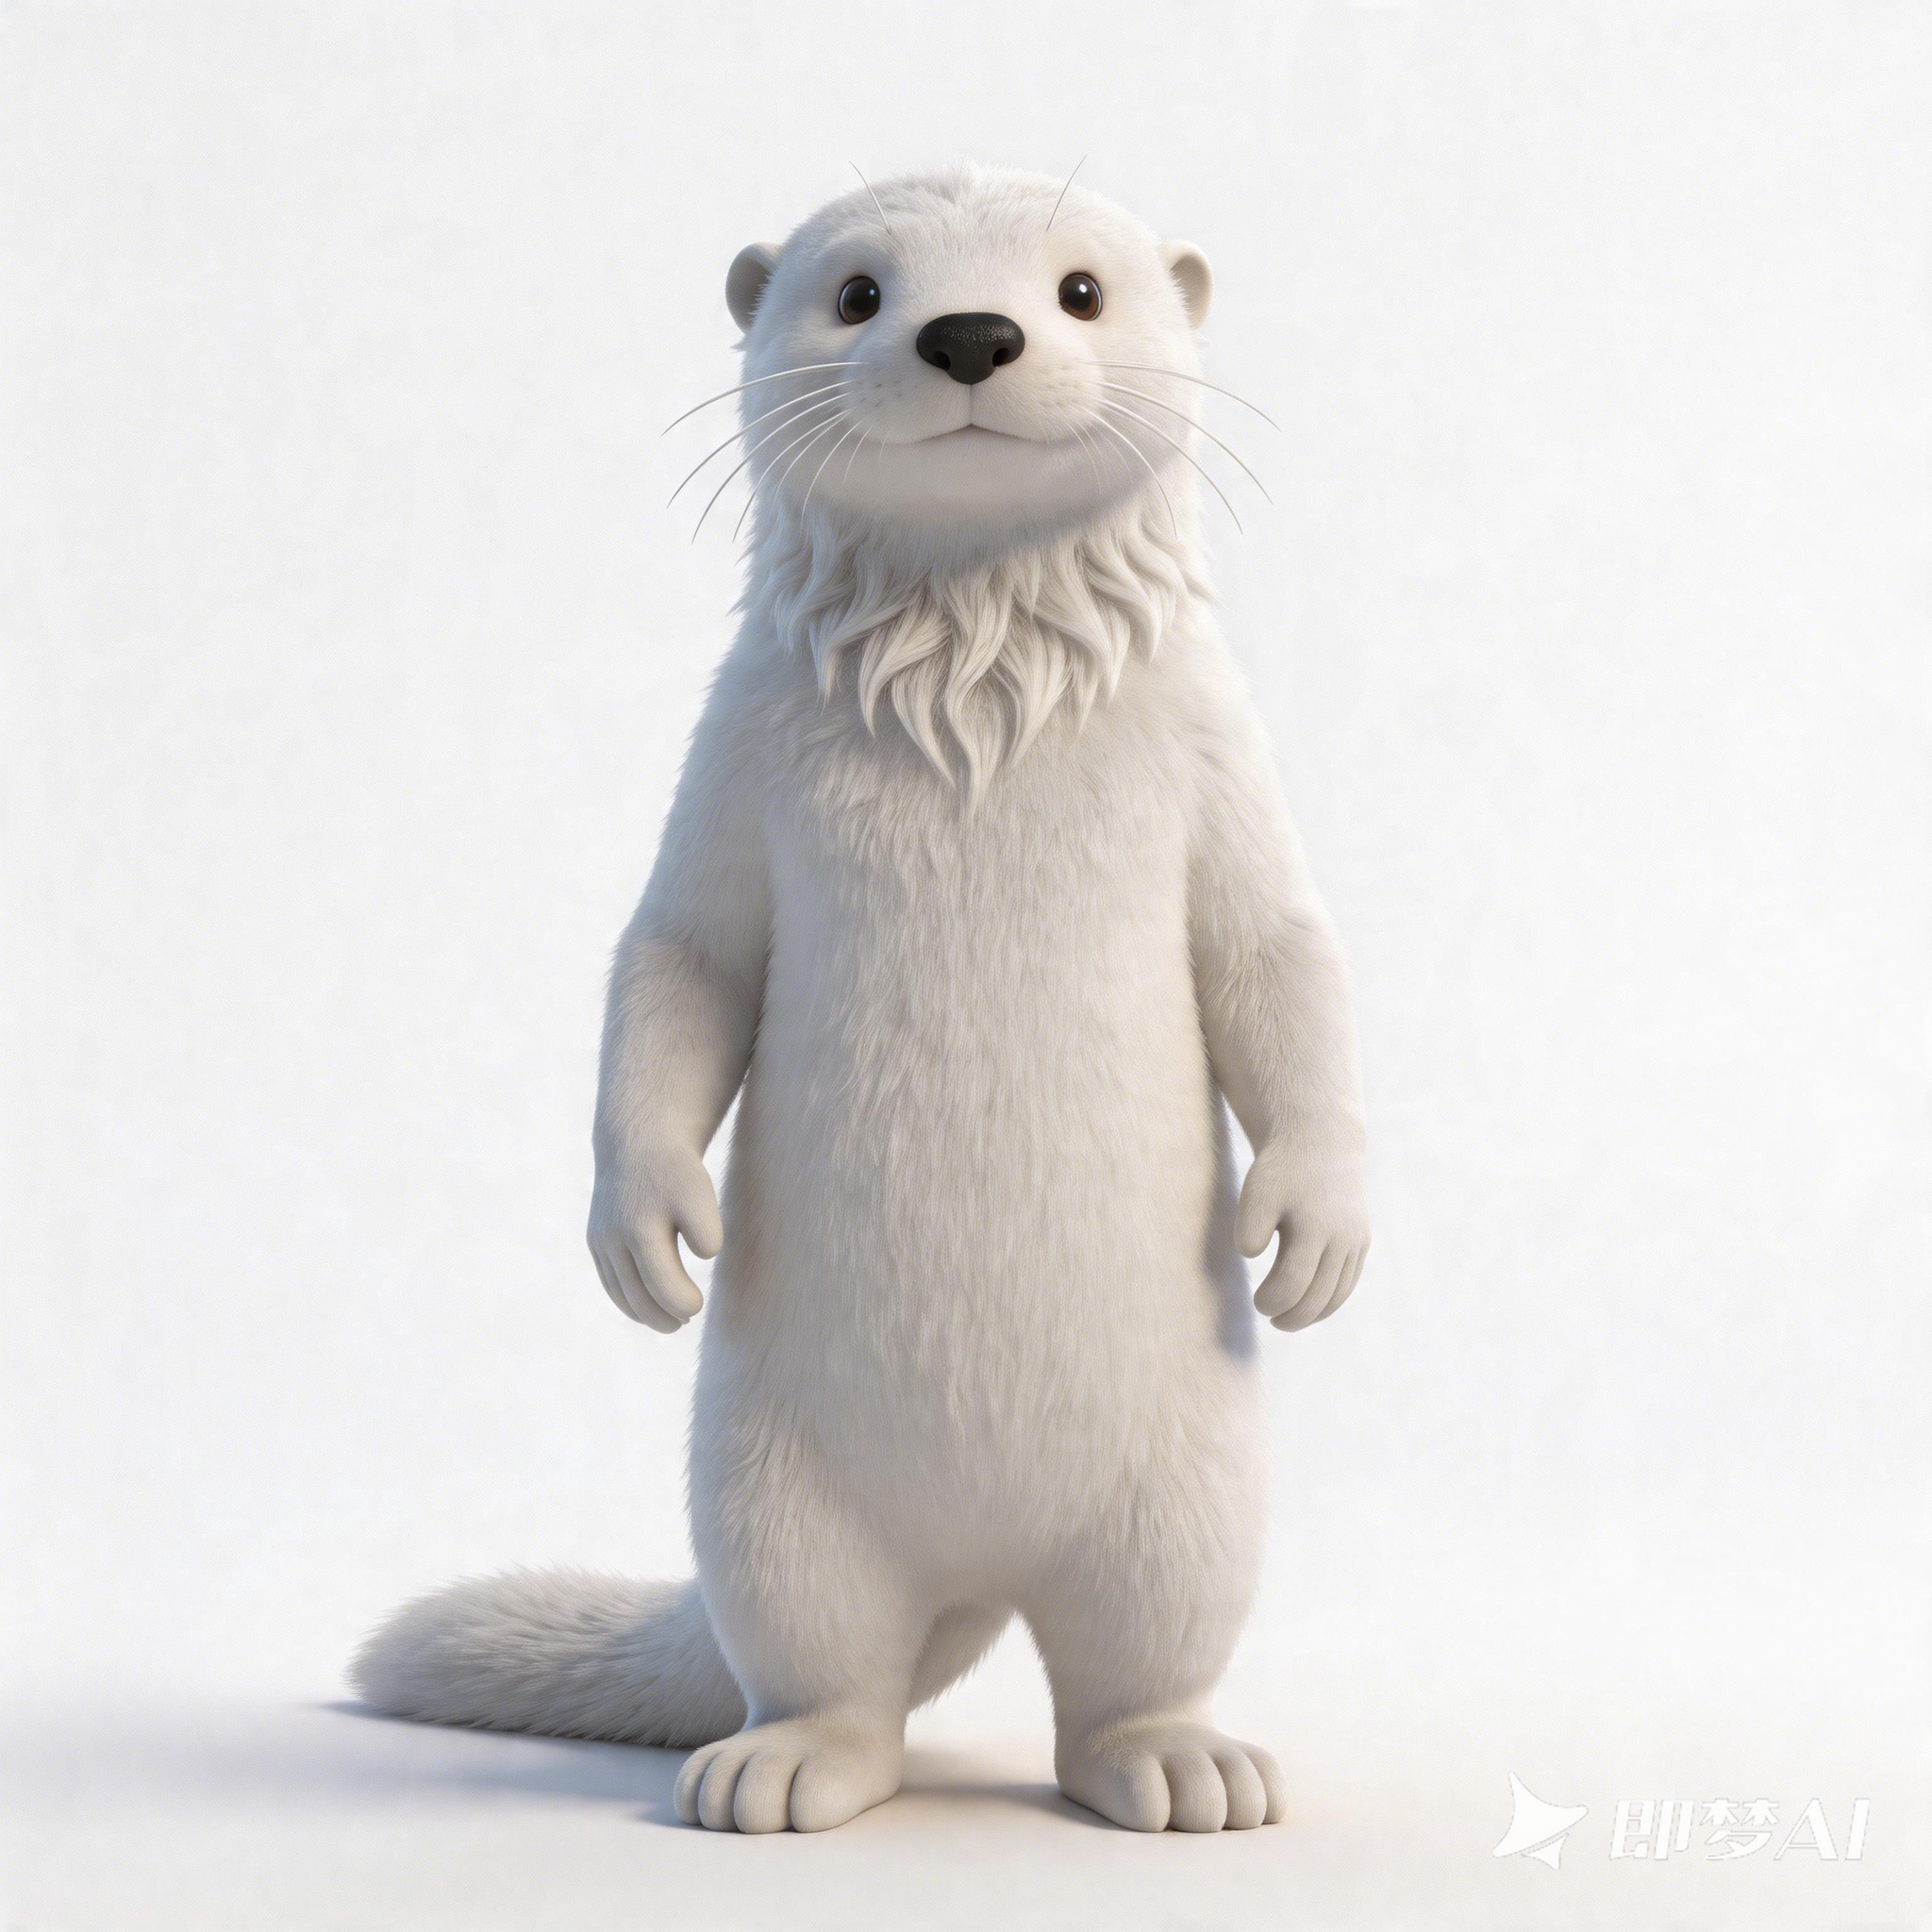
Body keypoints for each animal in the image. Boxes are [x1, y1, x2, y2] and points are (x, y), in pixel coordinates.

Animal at [355, 164, 1370, 1835]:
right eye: (856, 293)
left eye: (1081, 290)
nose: (972, 333)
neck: (979, 701)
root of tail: (979, 1576)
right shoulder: (732, 751)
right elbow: (674, 962)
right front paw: (644, 1236)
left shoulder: (1219, 748)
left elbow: (1282, 959)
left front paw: (1315, 1235)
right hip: (770, 1489)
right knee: (825, 1658)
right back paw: (779, 1768)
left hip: (1189, 1494)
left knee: (1136, 1658)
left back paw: (1180, 1765)